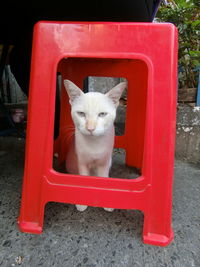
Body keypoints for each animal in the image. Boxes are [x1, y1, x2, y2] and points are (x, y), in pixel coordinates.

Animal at [64, 79, 126, 211]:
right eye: (81, 114)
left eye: (102, 114)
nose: (90, 128)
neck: (94, 143)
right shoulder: (82, 163)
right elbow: (83, 179)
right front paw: (82, 203)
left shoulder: (104, 163)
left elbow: (103, 179)